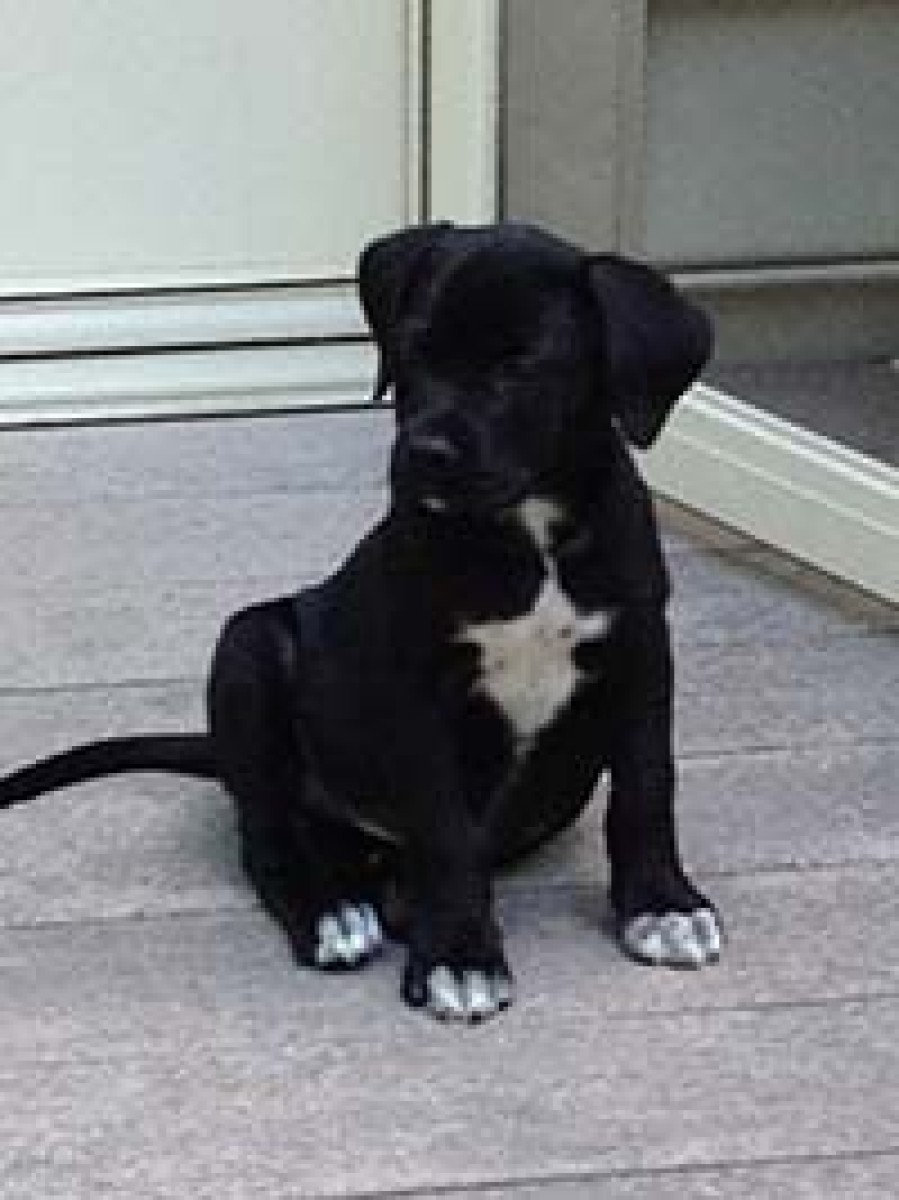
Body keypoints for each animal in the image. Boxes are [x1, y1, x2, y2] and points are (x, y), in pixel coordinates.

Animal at [0, 221, 721, 1022]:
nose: (425, 453)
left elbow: (646, 788)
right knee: (268, 831)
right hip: (248, 647)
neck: (528, 533)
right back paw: (334, 911)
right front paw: (460, 954)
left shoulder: (641, 656)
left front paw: (661, 905)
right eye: (412, 348)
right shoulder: (416, 692)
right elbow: (444, 829)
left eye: (521, 363)